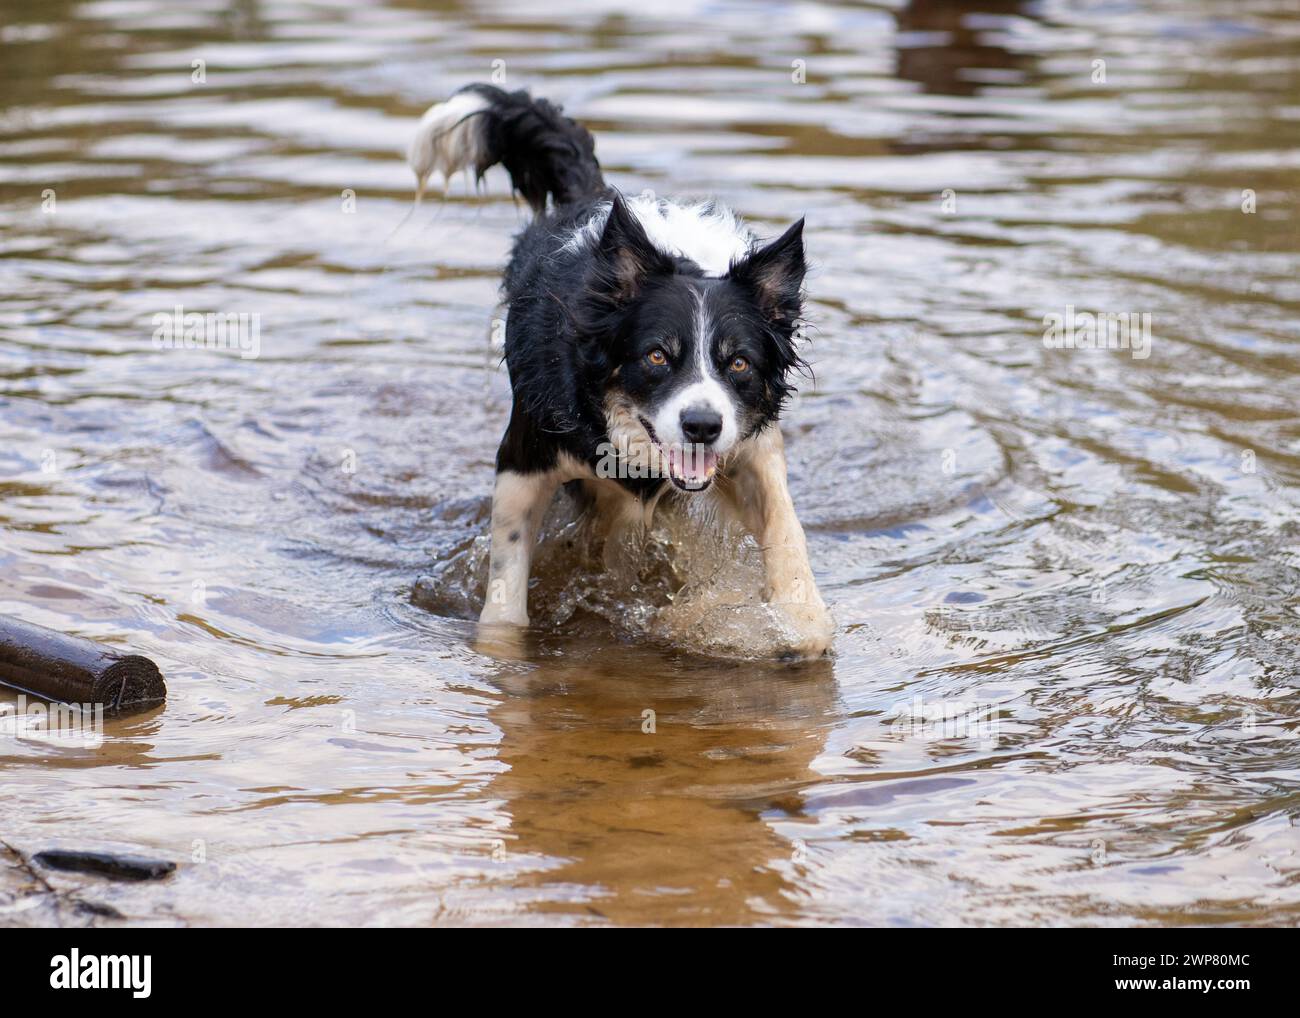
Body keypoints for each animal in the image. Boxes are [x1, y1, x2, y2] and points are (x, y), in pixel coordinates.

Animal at [405, 85, 832, 660]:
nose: (702, 426)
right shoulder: (525, 458)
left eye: (739, 363)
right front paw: (502, 648)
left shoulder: (749, 445)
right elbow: (506, 579)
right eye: (656, 356)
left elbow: (786, 529)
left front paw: (799, 617)